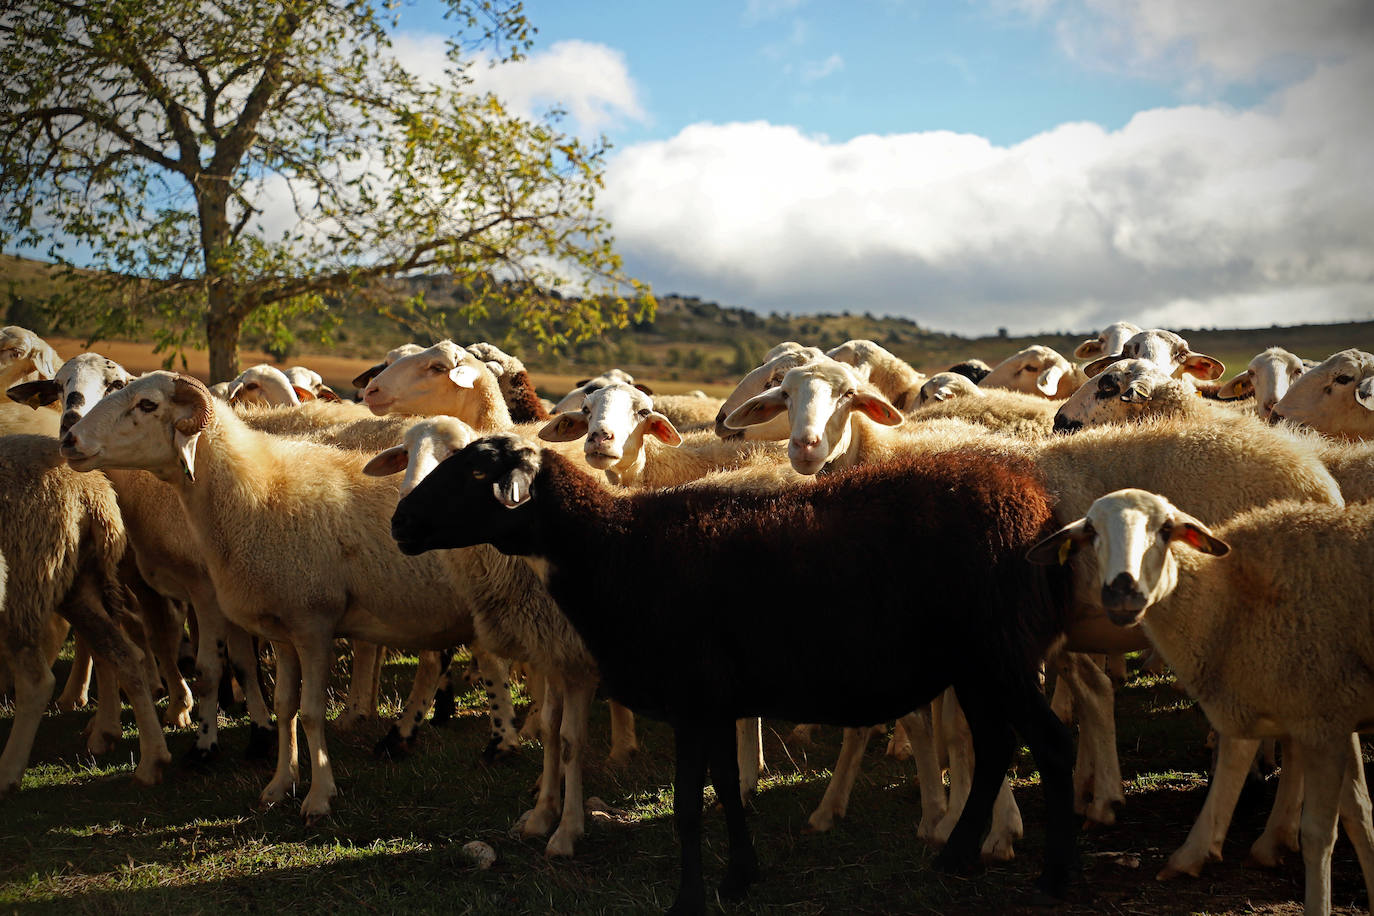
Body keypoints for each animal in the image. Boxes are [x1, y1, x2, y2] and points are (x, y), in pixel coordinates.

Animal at [0, 433, 171, 791]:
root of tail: (91, 494)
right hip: (77, 582)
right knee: (122, 653)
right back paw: (150, 759)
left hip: (24, 581)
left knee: (37, 682)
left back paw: (7, 773)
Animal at [390, 431, 1082, 916]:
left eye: (476, 472)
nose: (399, 524)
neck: (612, 548)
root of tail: (1041, 511)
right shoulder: (715, 701)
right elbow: (724, 786)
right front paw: (739, 877)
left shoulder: (692, 697)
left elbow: (687, 807)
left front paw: (688, 900)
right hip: (978, 663)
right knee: (997, 747)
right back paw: (958, 859)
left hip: (1000, 652)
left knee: (1050, 744)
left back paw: (1054, 878)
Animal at [1033, 491, 1374, 916]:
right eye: (1091, 530)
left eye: (1166, 528)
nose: (1122, 592)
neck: (1229, 595)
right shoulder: (1337, 715)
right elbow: (1361, 816)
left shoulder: (1321, 719)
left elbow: (1319, 833)